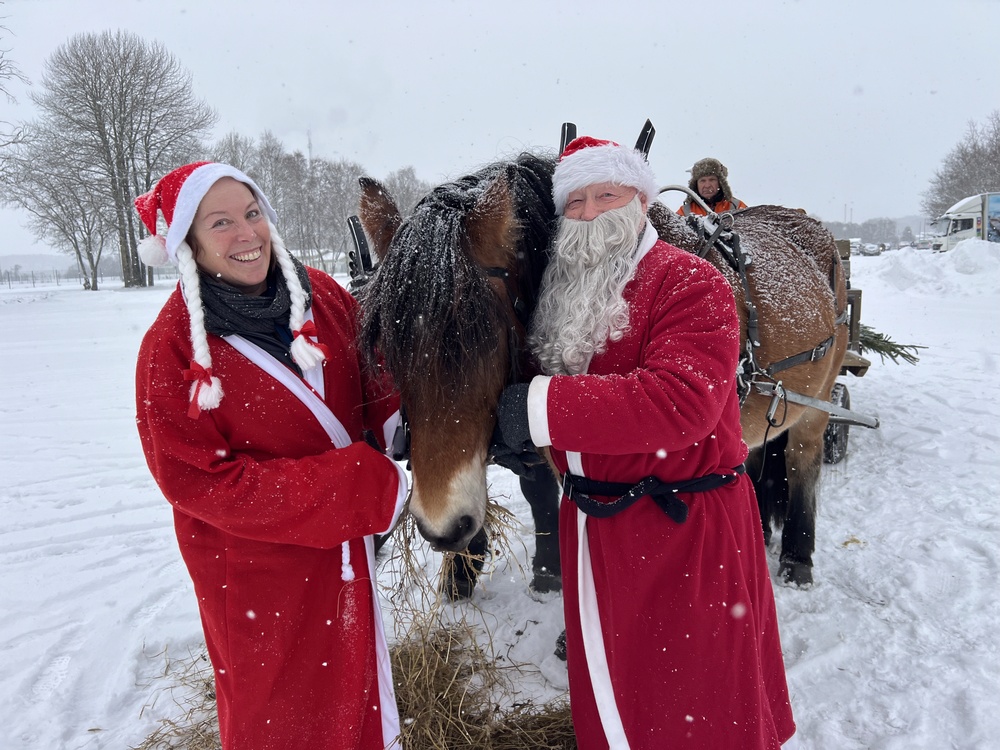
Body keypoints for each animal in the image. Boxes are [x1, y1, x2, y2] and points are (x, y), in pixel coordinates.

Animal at [358, 160, 844, 592]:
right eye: (389, 347)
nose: (442, 527)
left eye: (486, 338)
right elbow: (541, 493)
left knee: (802, 458)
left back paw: (797, 558)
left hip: (820, 400)